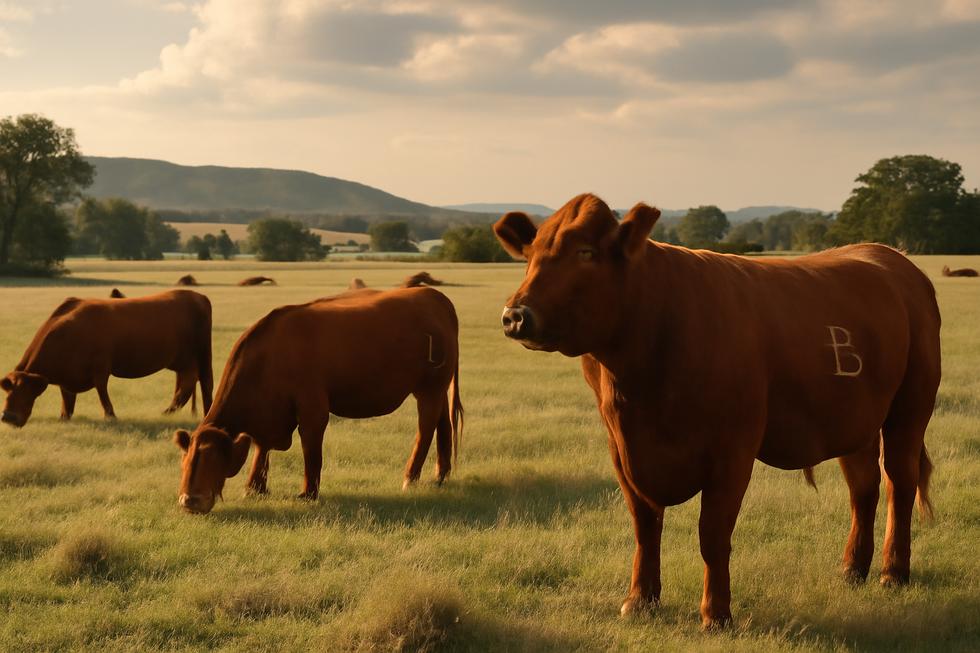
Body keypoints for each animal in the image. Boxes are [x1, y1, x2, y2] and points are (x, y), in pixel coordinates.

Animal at [1, 290, 214, 427]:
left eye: (25, 390)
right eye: (8, 390)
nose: (7, 417)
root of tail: (198, 296)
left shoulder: (101, 368)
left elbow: (103, 393)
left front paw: (111, 416)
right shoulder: (68, 378)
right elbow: (67, 402)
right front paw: (64, 418)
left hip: (203, 353)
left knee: (204, 383)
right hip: (183, 360)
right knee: (185, 384)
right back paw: (168, 413)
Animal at [173, 286, 463, 514]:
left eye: (211, 460)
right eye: (185, 463)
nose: (189, 501)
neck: (267, 358)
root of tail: (433, 295)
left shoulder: (313, 409)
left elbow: (311, 452)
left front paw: (308, 493)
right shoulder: (269, 416)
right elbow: (261, 448)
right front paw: (254, 488)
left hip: (430, 387)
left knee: (425, 428)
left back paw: (410, 478)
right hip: (436, 389)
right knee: (443, 424)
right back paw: (440, 474)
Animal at [494, 193, 940, 629]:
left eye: (585, 252)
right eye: (530, 254)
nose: (515, 315)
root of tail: (889, 255)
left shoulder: (732, 449)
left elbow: (712, 533)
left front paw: (716, 613)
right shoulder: (621, 449)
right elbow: (644, 526)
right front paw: (639, 601)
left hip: (911, 409)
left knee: (900, 481)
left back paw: (893, 573)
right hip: (854, 420)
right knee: (863, 487)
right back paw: (852, 569)